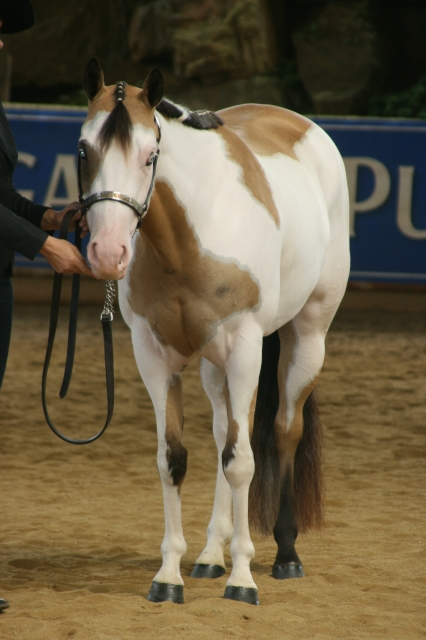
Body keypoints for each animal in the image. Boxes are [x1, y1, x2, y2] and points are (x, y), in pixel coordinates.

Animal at [78, 58, 350, 605]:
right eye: (82, 149)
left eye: (150, 155)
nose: (108, 252)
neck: (188, 239)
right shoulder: (153, 356)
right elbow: (175, 459)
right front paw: (169, 575)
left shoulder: (246, 350)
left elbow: (242, 460)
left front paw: (243, 579)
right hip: (212, 365)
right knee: (227, 430)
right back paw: (209, 555)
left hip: (306, 337)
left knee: (283, 430)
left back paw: (285, 555)